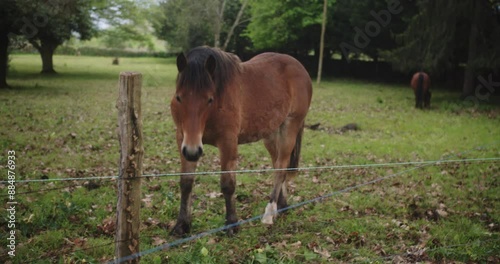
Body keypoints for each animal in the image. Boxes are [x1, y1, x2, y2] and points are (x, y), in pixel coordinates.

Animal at [172, 46, 312, 236]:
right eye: (179, 97)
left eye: (209, 99)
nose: (193, 152)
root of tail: (300, 68)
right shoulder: (184, 140)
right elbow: (186, 183)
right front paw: (182, 225)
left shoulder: (227, 143)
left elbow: (228, 184)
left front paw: (232, 224)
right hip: (271, 135)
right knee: (277, 164)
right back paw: (281, 206)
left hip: (290, 127)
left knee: (281, 168)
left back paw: (269, 213)